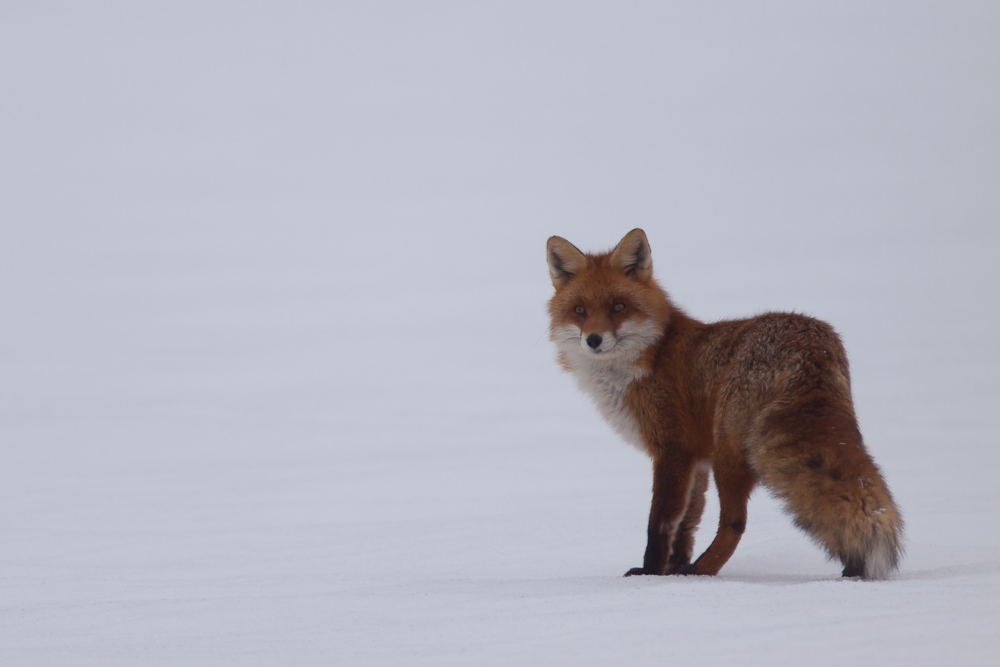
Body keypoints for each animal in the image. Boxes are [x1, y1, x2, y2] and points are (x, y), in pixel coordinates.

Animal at [548, 228, 908, 580]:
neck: (651, 355)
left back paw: (701, 571)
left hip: (728, 452)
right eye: (579, 310)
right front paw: (671, 570)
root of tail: (812, 344)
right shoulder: (695, 459)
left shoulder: (672, 448)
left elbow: (661, 521)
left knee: (735, 523)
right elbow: (687, 523)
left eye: (618, 307)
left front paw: (651, 574)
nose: (593, 340)